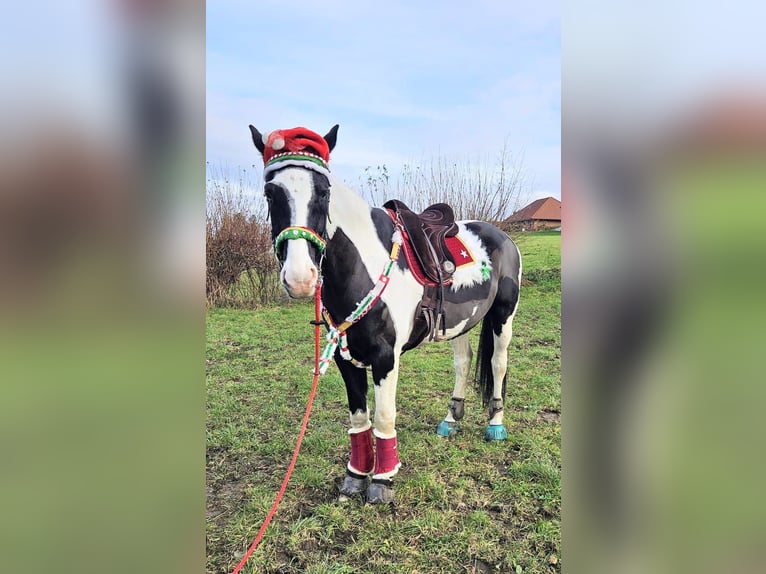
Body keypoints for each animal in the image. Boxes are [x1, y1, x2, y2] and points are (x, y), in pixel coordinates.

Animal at [249, 124, 522, 504]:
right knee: (464, 362)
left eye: (324, 192)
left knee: (497, 363)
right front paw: (355, 478)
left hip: (503, 316)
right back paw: (450, 420)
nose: (300, 277)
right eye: (270, 193)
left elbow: (383, 416)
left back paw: (495, 424)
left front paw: (382, 482)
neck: (363, 267)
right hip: (462, 323)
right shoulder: (346, 359)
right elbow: (359, 419)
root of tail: (501, 236)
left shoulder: (385, 357)